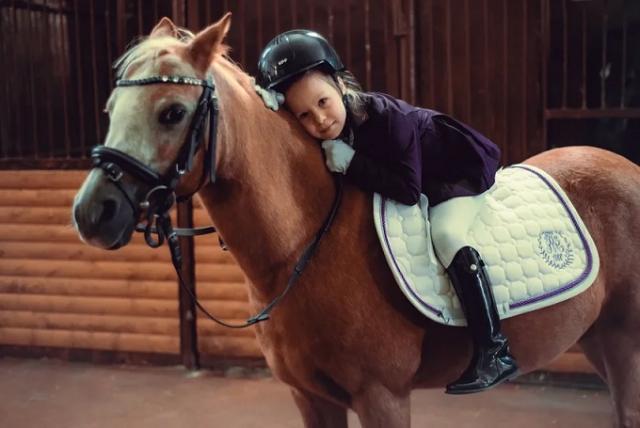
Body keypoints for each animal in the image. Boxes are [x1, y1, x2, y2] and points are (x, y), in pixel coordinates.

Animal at [72, 14, 640, 428]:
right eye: (110, 108)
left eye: (171, 111)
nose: (91, 213)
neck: (304, 245)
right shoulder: (311, 398)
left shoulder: (381, 396)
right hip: (600, 339)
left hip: (626, 344)